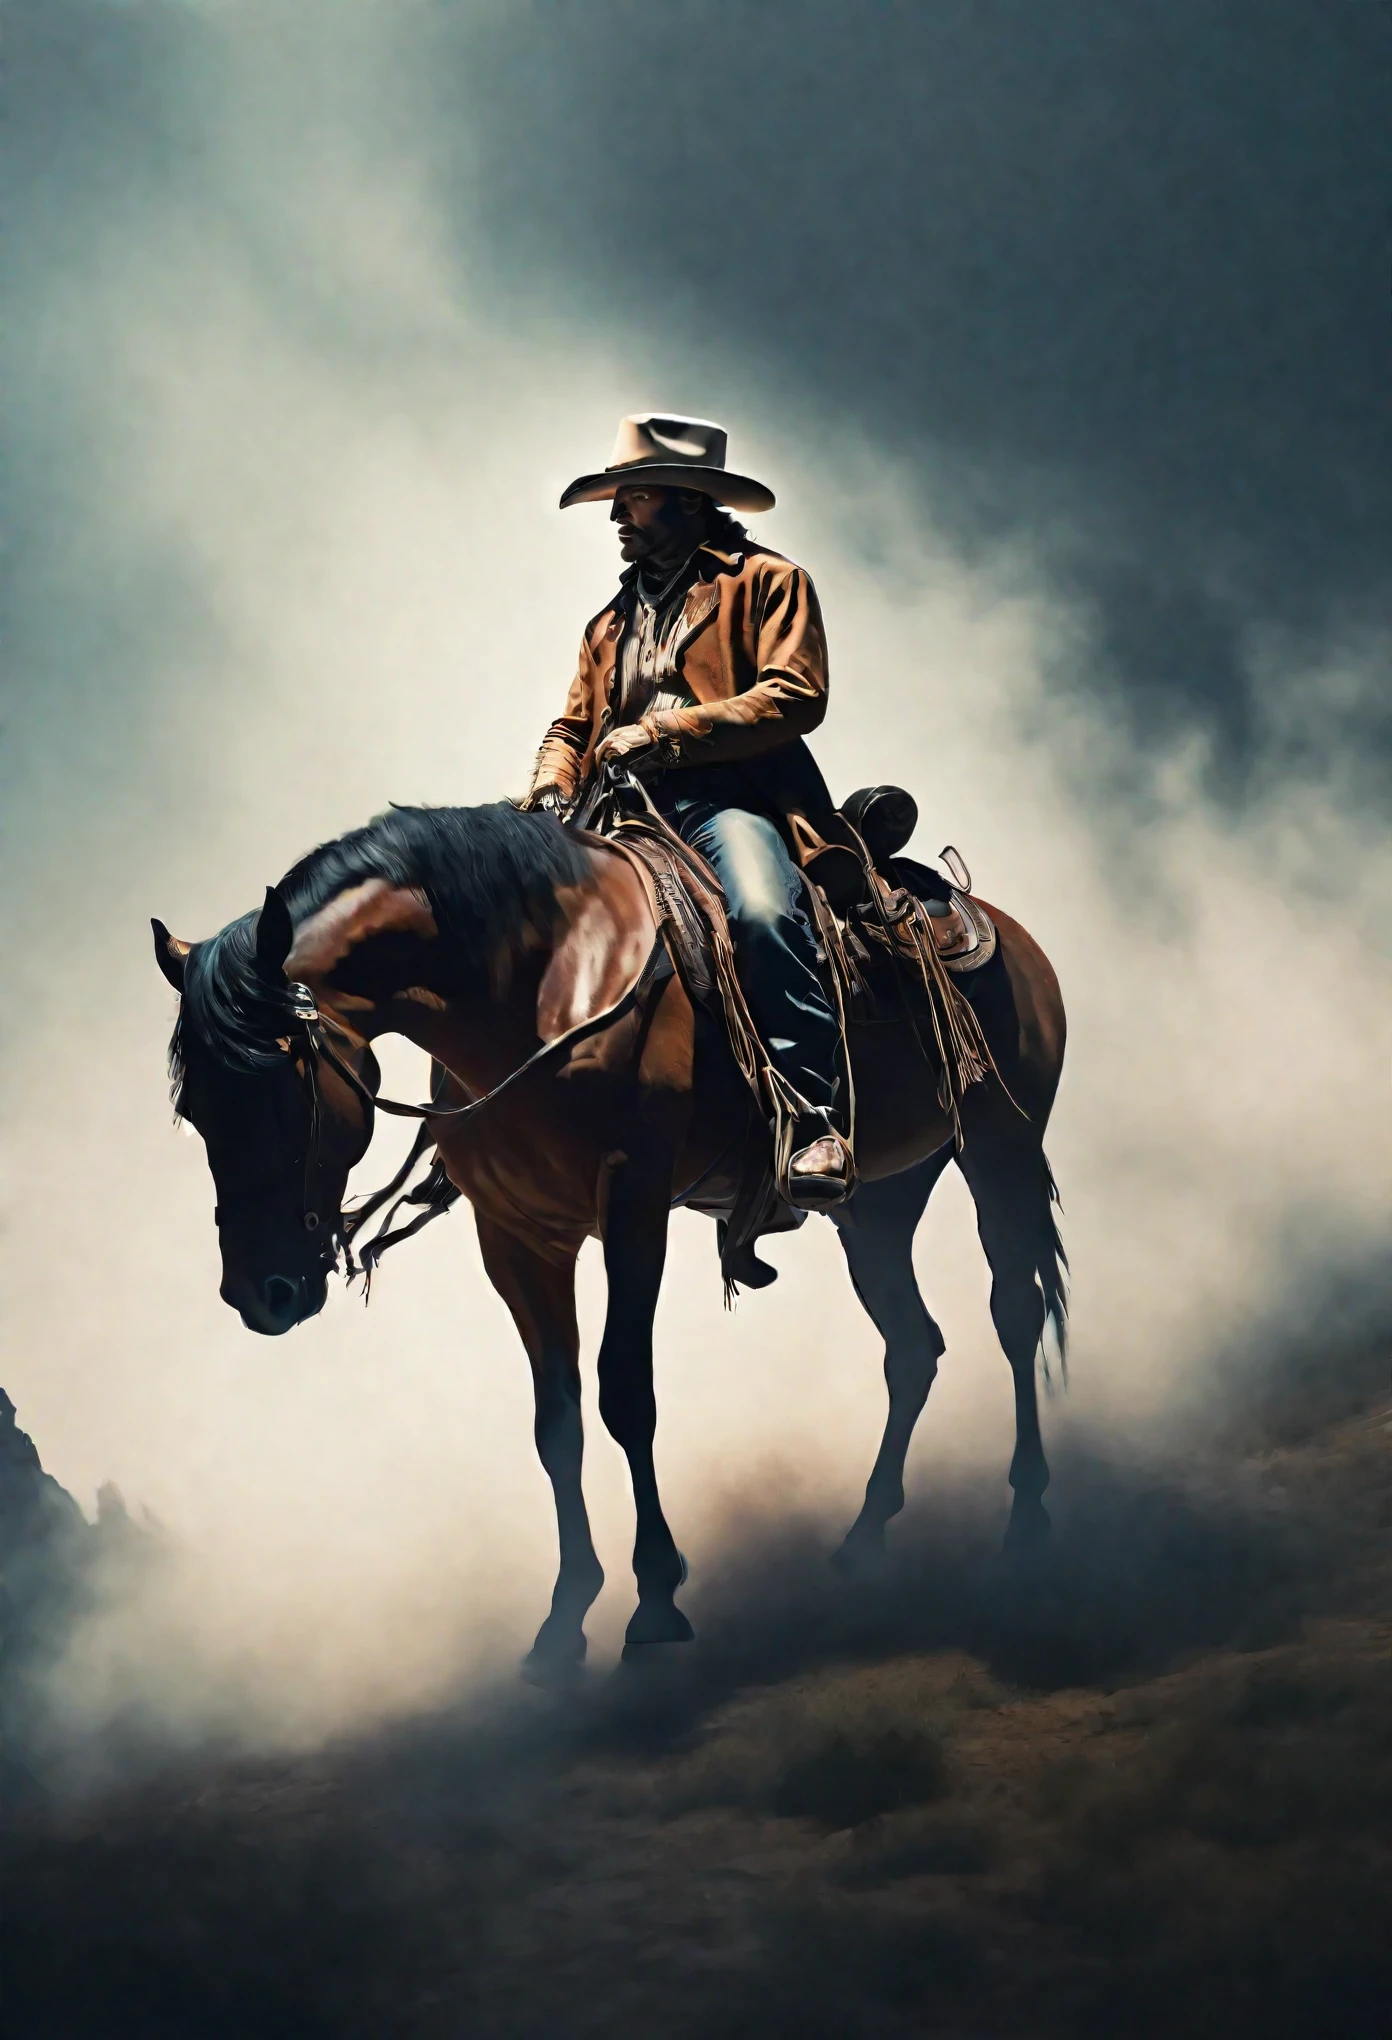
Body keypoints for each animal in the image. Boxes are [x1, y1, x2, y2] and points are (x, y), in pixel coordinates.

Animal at [152, 795, 1061, 1672]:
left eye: (279, 1085)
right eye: (195, 1107)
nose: (262, 1293)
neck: (534, 986)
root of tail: (1000, 927)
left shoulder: (634, 1204)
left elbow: (626, 1390)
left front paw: (655, 1598)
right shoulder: (517, 1239)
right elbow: (556, 1421)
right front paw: (564, 1618)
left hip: (1001, 1147)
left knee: (1014, 1310)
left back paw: (1028, 1521)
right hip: (877, 1207)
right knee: (913, 1346)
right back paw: (865, 1539)